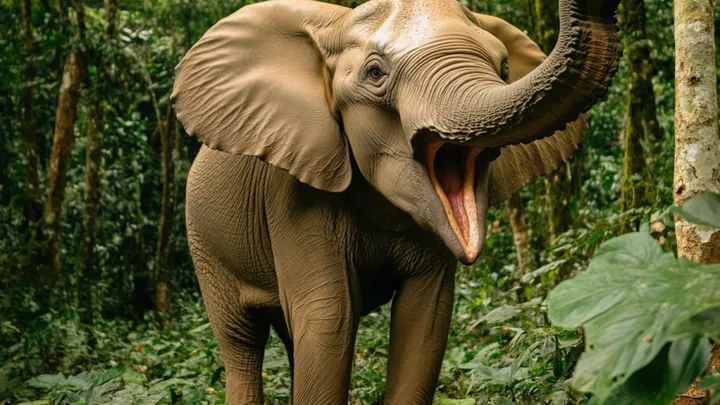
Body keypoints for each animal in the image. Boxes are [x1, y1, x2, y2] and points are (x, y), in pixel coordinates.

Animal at [171, 0, 621, 402]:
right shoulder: (291, 197)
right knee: (241, 343)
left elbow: (425, 318)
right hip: (204, 248)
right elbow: (329, 317)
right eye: (375, 73)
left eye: (505, 69)